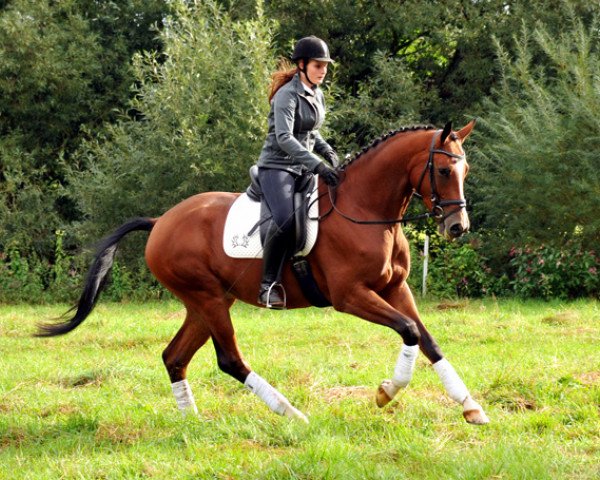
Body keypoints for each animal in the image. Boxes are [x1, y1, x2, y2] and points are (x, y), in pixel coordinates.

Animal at [37, 121, 490, 424]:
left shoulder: (396, 289)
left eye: (466, 170)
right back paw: (292, 414)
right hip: (209, 300)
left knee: (174, 357)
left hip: (205, 303)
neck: (365, 210)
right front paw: (385, 393)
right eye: (444, 171)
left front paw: (470, 406)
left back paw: (191, 421)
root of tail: (161, 221)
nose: (458, 227)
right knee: (229, 360)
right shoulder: (350, 296)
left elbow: (427, 339)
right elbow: (409, 332)